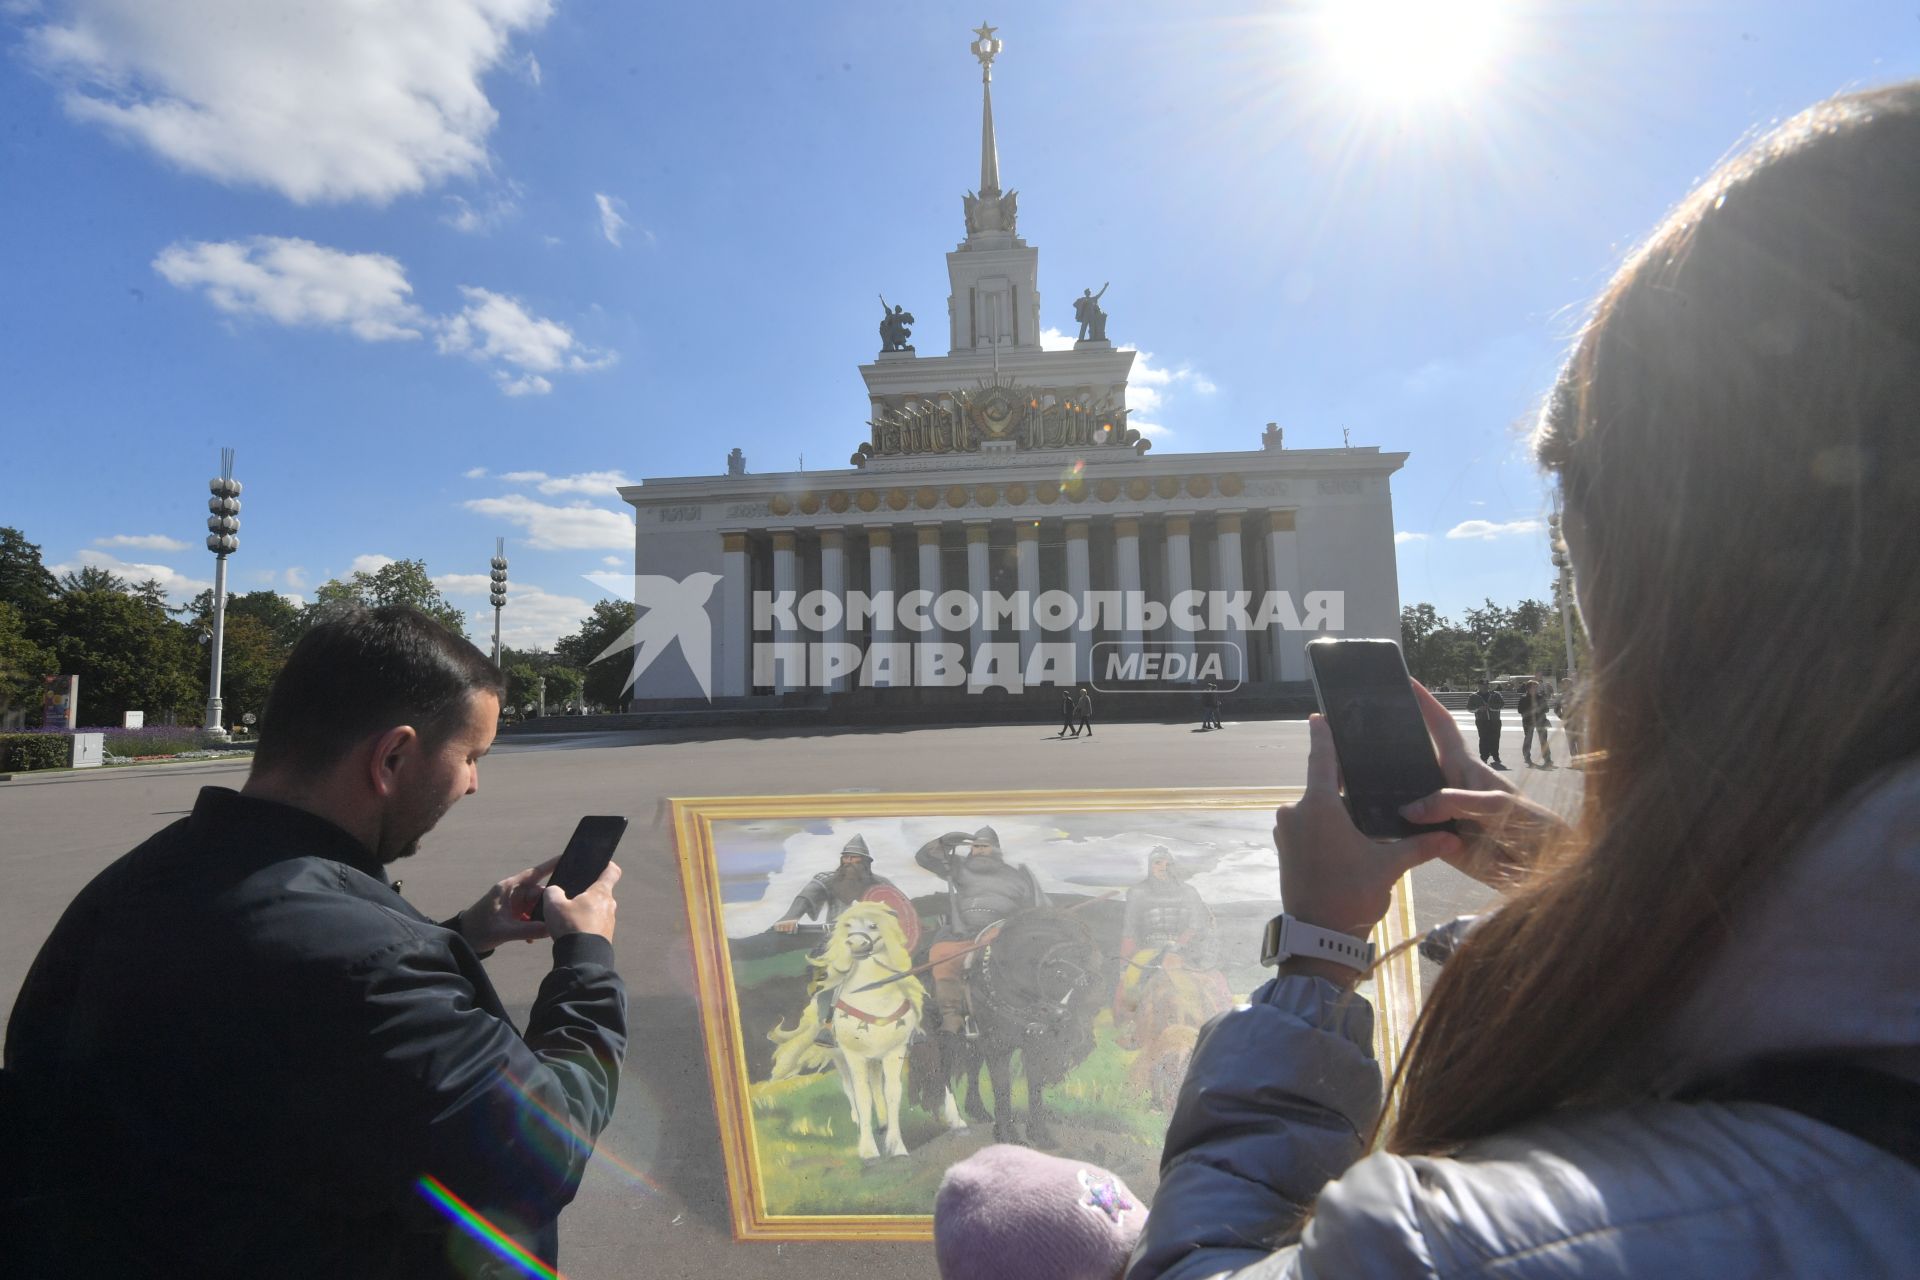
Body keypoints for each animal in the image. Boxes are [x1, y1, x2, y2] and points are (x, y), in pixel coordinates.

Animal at [756, 901, 952, 1159]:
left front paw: (896, 1146)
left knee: (876, 1084)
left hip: (875, 1057)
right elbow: (861, 1096)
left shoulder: (894, 1052)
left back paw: (883, 1123)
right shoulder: (854, 1056)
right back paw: (861, 1122)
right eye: (848, 925)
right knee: (850, 1088)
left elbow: (892, 1093)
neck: (872, 996)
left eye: (874, 925)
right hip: (839, 1056)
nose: (856, 944)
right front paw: (868, 1150)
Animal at [917, 905, 1105, 1143]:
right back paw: (957, 1120)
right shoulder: (998, 1046)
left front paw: (1039, 1134)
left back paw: (977, 1110)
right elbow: (1002, 1087)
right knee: (945, 1068)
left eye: (1091, 981)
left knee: (972, 1065)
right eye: (1059, 973)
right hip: (946, 1035)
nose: (1071, 1035)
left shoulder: (1033, 1046)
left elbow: (1034, 1086)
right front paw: (1007, 1134)